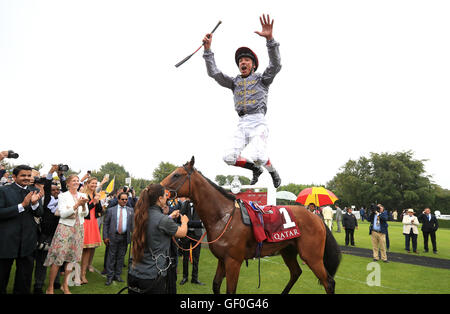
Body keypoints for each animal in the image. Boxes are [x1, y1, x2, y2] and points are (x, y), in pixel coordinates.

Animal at [162, 157, 342, 294]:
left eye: (176, 175)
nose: (158, 188)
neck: (224, 217)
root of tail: (316, 217)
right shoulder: (222, 259)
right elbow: (216, 285)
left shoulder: (234, 261)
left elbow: (230, 291)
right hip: (288, 250)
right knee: (296, 273)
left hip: (312, 256)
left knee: (328, 282)